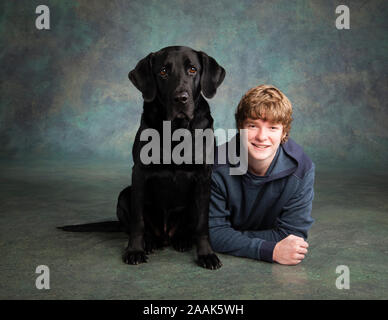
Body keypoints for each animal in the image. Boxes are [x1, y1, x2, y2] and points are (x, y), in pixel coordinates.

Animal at [59, 45, 226, 270]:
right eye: (163, 72)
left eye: (192, 69)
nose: (181, 98)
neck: (175, 130)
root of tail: (165, 236)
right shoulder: (139, 173)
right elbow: (138, 221)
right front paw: (134, 250)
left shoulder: (203, 176)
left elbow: (202, 224)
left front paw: (207, 254)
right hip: (124, 195)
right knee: (136, 225)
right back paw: (150, 242)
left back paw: (182, 240)